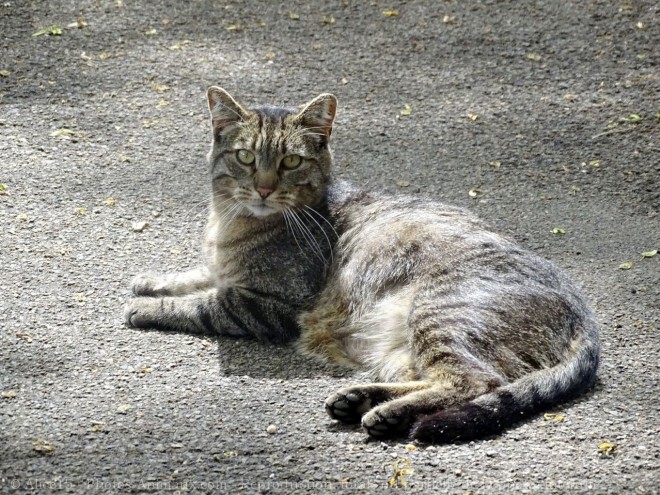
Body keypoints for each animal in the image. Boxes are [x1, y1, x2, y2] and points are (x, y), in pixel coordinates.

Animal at [125, 87, 604, 444]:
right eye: (245, 157)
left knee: (476, 382)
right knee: (435, 378)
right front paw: (151, 281)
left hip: (439, 312)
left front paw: (146, 308)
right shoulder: (220, 270)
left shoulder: (268, 305)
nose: (262, 189)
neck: (229, 222)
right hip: (400, 348)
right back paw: (363, 401)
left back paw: (385, 411)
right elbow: (193, 275)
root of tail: (583, 311)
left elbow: (201, 303)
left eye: (290, 162)